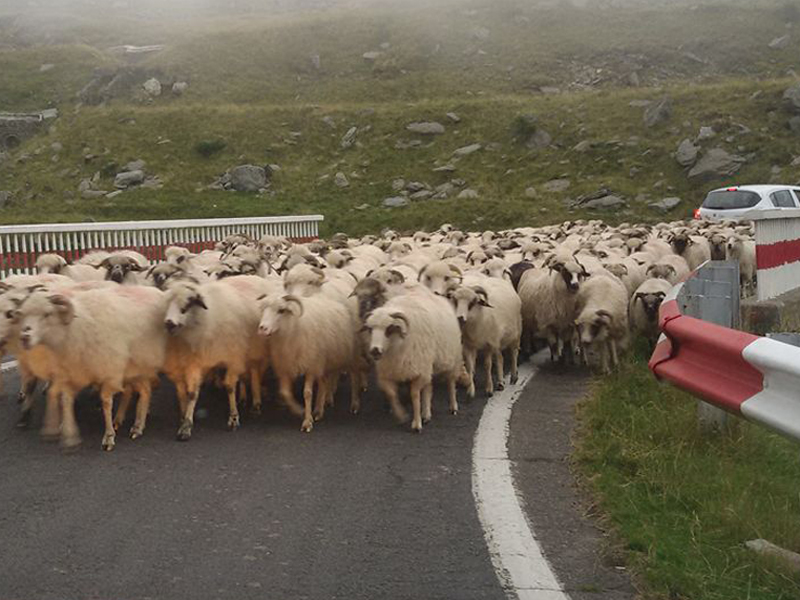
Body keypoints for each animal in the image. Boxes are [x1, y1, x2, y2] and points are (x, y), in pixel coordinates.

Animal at [258, 292, 358, 428]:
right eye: (263, 309)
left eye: (281, 310)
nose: (262, 328)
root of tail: (340, 305)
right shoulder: (285, 365)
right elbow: (285, 393)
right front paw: (299, 411)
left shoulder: (311, 365)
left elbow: (307, 393)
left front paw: (307, 422)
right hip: (323, 362)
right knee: (323, 383)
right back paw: (318, 411)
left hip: (345, 355)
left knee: (353, 377)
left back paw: (354, 404)